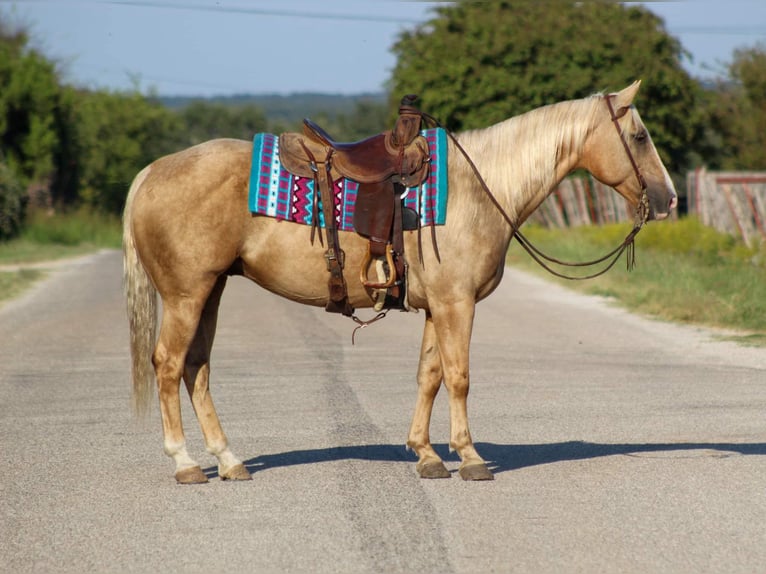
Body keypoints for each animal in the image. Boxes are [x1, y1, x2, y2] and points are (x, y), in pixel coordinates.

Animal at [123, 81, 677, 484]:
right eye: (640, 136)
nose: (668, 198)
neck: (480, 188)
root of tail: (150, 172)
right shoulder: (457, 304)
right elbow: (459, 376)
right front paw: (470, 457)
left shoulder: (437, 306)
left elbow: (429, 375)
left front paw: (426, 454)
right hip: (186, 295)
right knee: (168, 364)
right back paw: (186, 463)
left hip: (210, 290)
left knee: (196, 369)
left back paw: (230, 460)